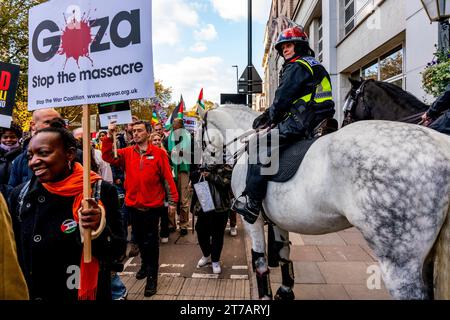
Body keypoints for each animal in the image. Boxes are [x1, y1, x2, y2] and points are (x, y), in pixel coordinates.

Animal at [200, 105, 450, 300]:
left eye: (201, 140)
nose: (204, 169)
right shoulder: (278, 220)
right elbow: (283, 253)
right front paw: (285, 290)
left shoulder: (252, 220)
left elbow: (260, 261)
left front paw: (266, 296)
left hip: (398, 257)